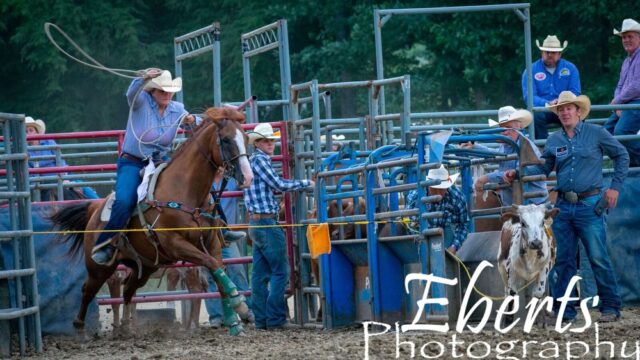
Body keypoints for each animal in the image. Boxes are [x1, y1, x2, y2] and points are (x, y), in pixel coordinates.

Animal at [49, 106, 252, 334]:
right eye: (225, 139)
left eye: (246, 137)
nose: (248, 177)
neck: (184, 190)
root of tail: (95, 208)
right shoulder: (176, 245)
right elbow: (211, 265)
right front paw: (240, 304)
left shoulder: (211, 242)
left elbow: (218, 270)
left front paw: (236, 320)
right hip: (99, 269)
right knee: (87, 290)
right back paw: (80, 326)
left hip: (145, 267)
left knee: (129, 290)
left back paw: (126, 328)